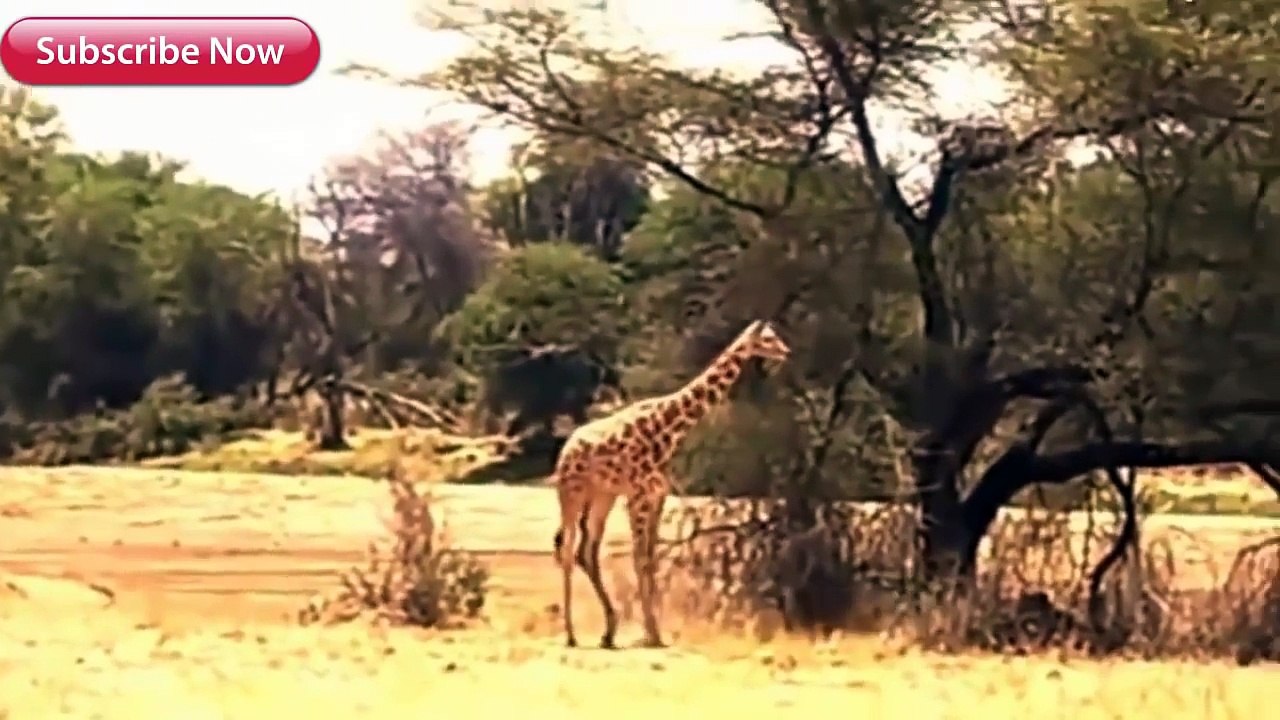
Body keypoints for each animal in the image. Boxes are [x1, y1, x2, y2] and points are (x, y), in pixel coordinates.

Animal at [551, 319, 792, 648]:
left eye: (775, 337)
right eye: (767, 340)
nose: (786, 351)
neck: (668, 430)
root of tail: (566, 449)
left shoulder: (656, 496)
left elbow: (651, 559)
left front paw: (654, 632)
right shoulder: (638, 496)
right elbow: (640, 558)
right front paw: (650, 633)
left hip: (602, 496)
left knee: (586, 551)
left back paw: (608, 632)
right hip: (571, 494)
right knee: (566, 550)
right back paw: (571, 634)